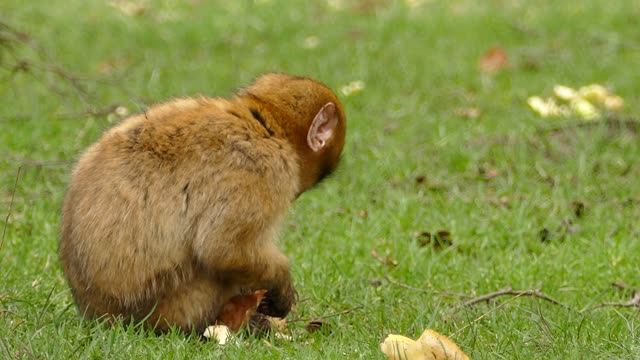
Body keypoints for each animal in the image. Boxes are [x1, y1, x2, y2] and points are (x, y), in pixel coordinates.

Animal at [60, 71, 348, 334]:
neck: (264, 126)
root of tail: (98, 314)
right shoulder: (262, 170)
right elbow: (222, 249)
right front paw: (281, 287)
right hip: (176, 305)